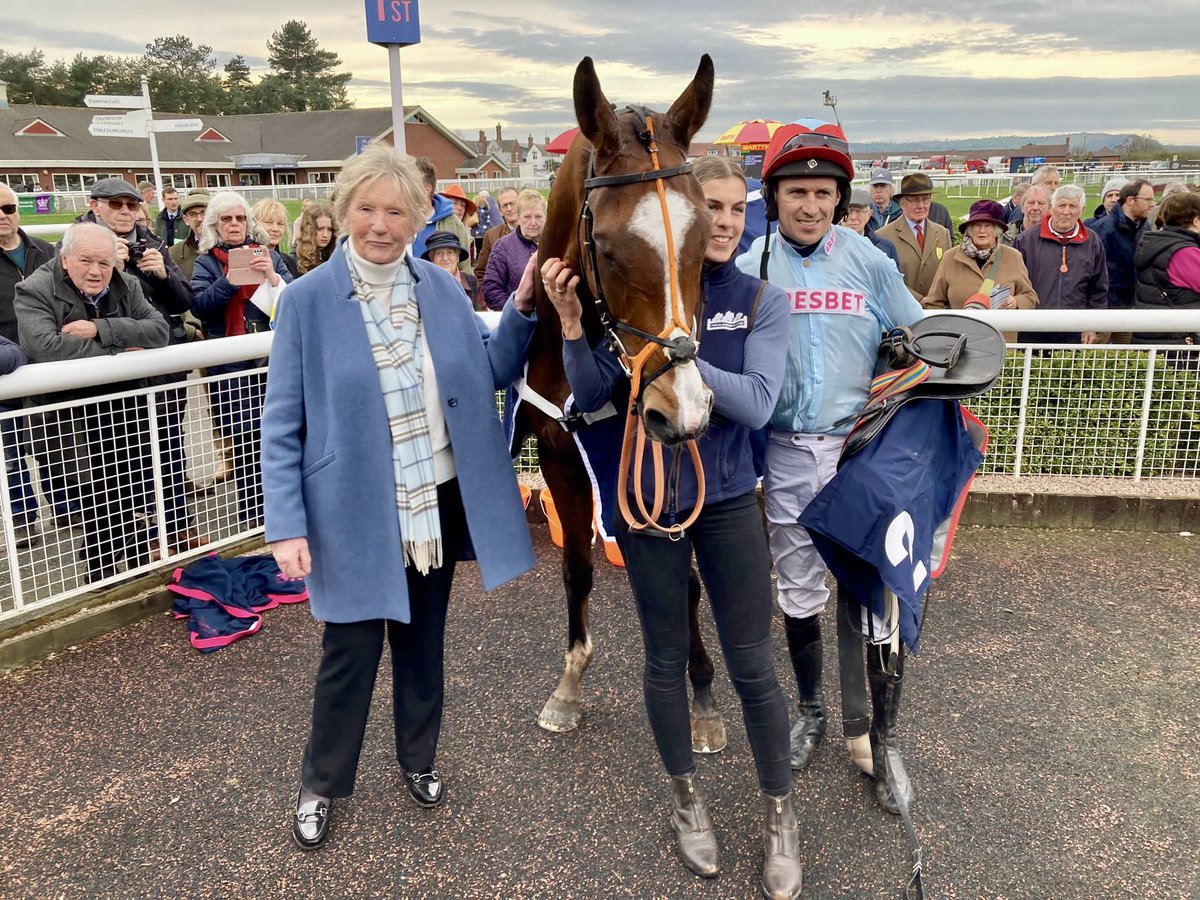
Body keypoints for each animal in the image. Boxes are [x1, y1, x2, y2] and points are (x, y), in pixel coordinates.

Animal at [511, 52, 724, 748]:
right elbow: (577, 568)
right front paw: (569, 687)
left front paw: (702, 695)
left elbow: (685, 580)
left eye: (706, 235)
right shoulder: (559, 453)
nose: (683, 407)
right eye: (605, 248)